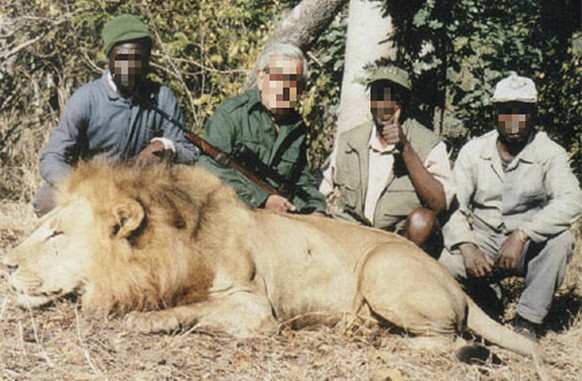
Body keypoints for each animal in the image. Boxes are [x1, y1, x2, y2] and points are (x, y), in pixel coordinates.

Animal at [4, 162, 540, 358]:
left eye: (57, 233)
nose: (7, 265)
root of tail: (457, 286)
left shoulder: (256, 308)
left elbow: (190, 310)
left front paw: (140, 319)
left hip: (382, 270)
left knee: (452, 340)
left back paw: (382, 339)